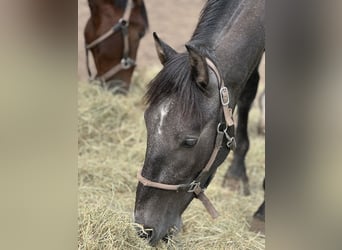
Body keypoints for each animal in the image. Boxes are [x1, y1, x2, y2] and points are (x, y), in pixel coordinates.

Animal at [134, 0, 264, 246]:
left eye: (189, 141)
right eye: (147, 122)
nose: (144, 229)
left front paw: (262, 212)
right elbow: (247, 90)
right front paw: (236, 175)